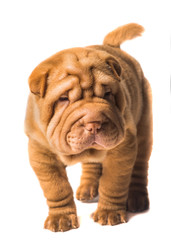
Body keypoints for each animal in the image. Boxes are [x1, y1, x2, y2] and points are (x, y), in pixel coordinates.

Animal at [24, 23, 152, 232]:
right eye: (63, 99)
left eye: (107, 94)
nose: (94, 123)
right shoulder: (41, 153)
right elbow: (56, 187)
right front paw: (60, 218)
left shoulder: (123, 148)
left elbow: (114, 182)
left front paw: (109, 213)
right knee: (92, 163)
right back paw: (87, 189)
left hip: (144, 126)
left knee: (140, 165)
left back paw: (137, 199)